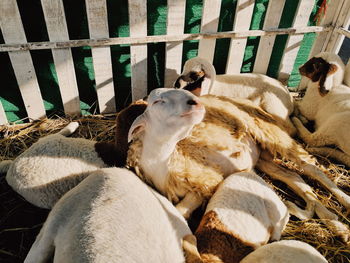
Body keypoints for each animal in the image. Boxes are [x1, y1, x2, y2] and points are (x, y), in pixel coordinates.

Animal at [127, 88, 350, 241]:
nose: (196, 102)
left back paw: (344, 203)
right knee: (294, 177)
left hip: (271, 133)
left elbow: (181, 210)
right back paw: (334, 222)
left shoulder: (208, 181)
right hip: (262, 157)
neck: (163, 160)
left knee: (313, 170)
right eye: (158, 101)